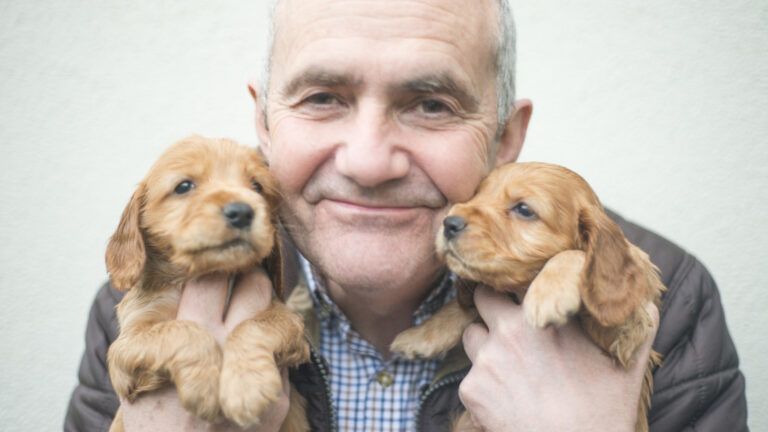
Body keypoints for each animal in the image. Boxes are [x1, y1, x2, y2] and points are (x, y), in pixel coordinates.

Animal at [105, 136, 308, 432]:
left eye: (257, 187)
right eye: (184, 186)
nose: (242, 211)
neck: (208, 273)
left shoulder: (289, 321)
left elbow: (253, 326)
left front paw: (246, 387)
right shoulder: (125, 348)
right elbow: (186, 330)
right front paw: (206, 386)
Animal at [392, 161, 664, 432]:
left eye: (524, 209)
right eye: (477, 194)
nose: (449, 223)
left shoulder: (623, 336)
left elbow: (574, 256)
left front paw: (548, 294)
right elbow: (459, 308)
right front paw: (418, 337)